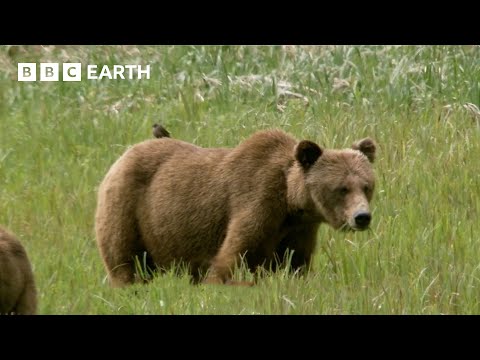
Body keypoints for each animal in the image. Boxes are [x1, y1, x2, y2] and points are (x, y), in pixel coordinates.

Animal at [95, 129, 376, 286]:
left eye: (367, 186)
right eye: (341, 188)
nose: (362, 217)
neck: (290, 203)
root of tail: (124, 154)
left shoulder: (299, 229)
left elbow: (296, 263)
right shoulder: (256, 202)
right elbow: (232, 254)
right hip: (127, 209)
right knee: (123, 260)